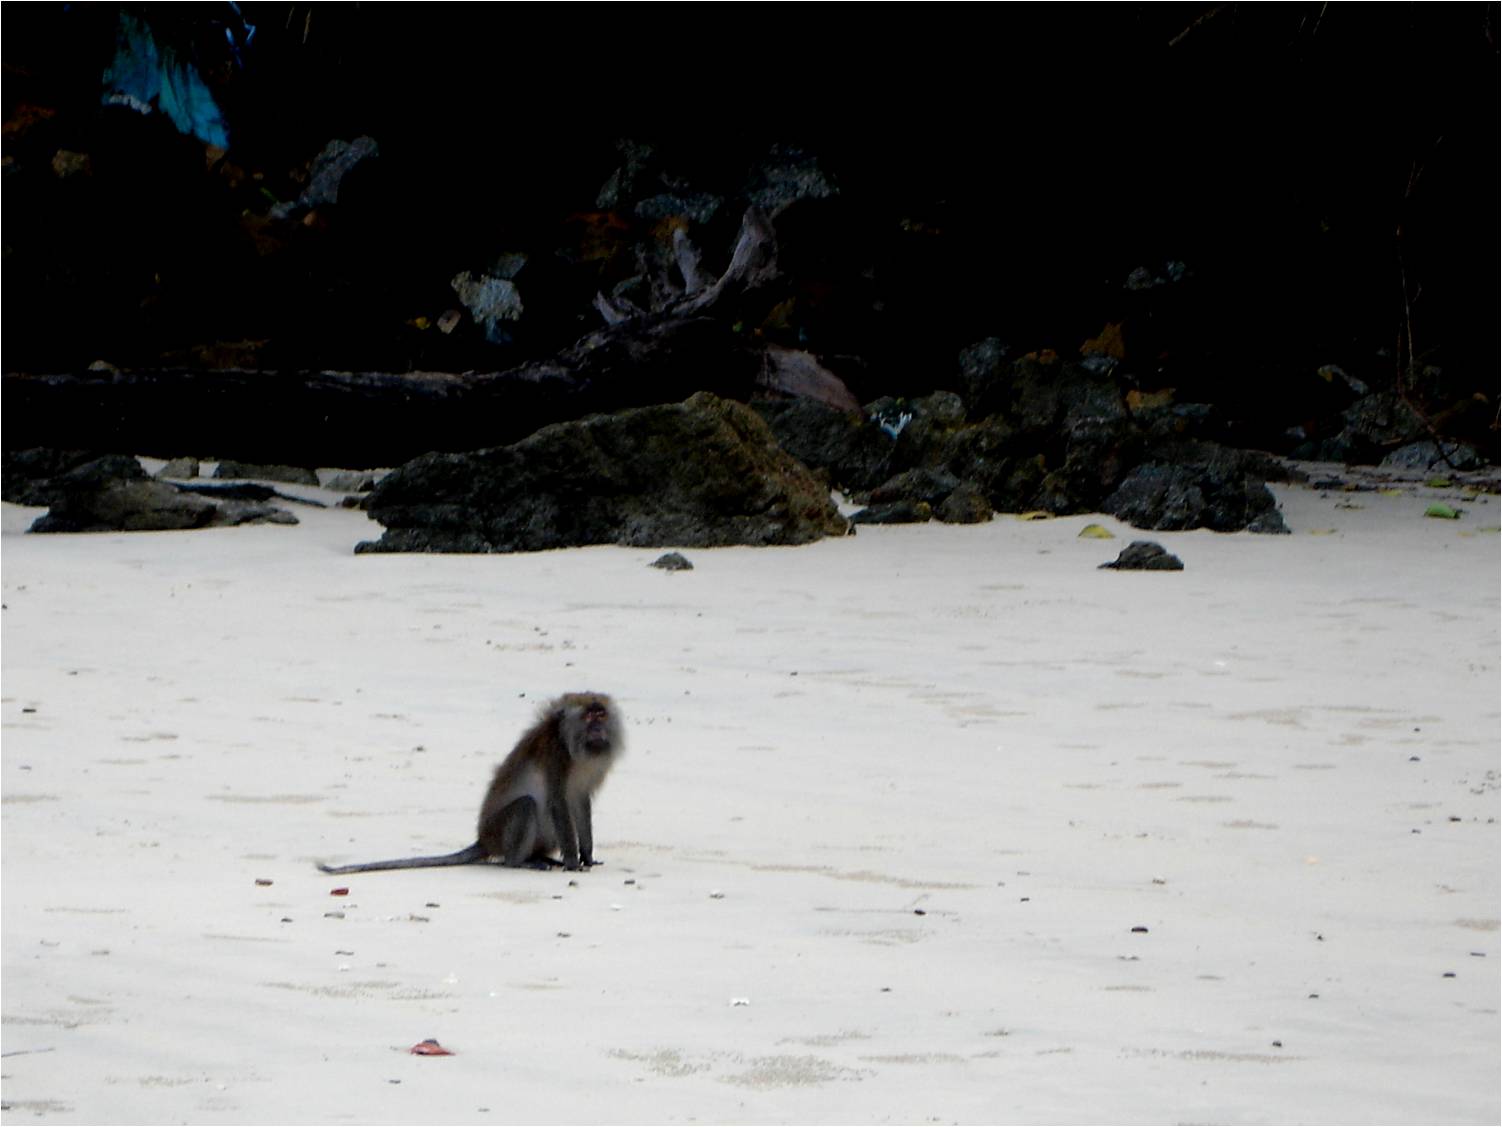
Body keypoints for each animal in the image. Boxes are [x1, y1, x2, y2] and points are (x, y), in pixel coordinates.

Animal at [317, 692, 622, 875]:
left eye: (601, 715)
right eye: (589, 716)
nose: (598, 730)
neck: (571, 745)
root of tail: (483, 839)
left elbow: (579, 802)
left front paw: (587, 855)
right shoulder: (555, 756)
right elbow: (558, 803)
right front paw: (572, 861)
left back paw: (542, 857)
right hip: (499, 832)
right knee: (526, 805)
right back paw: (521, 861)